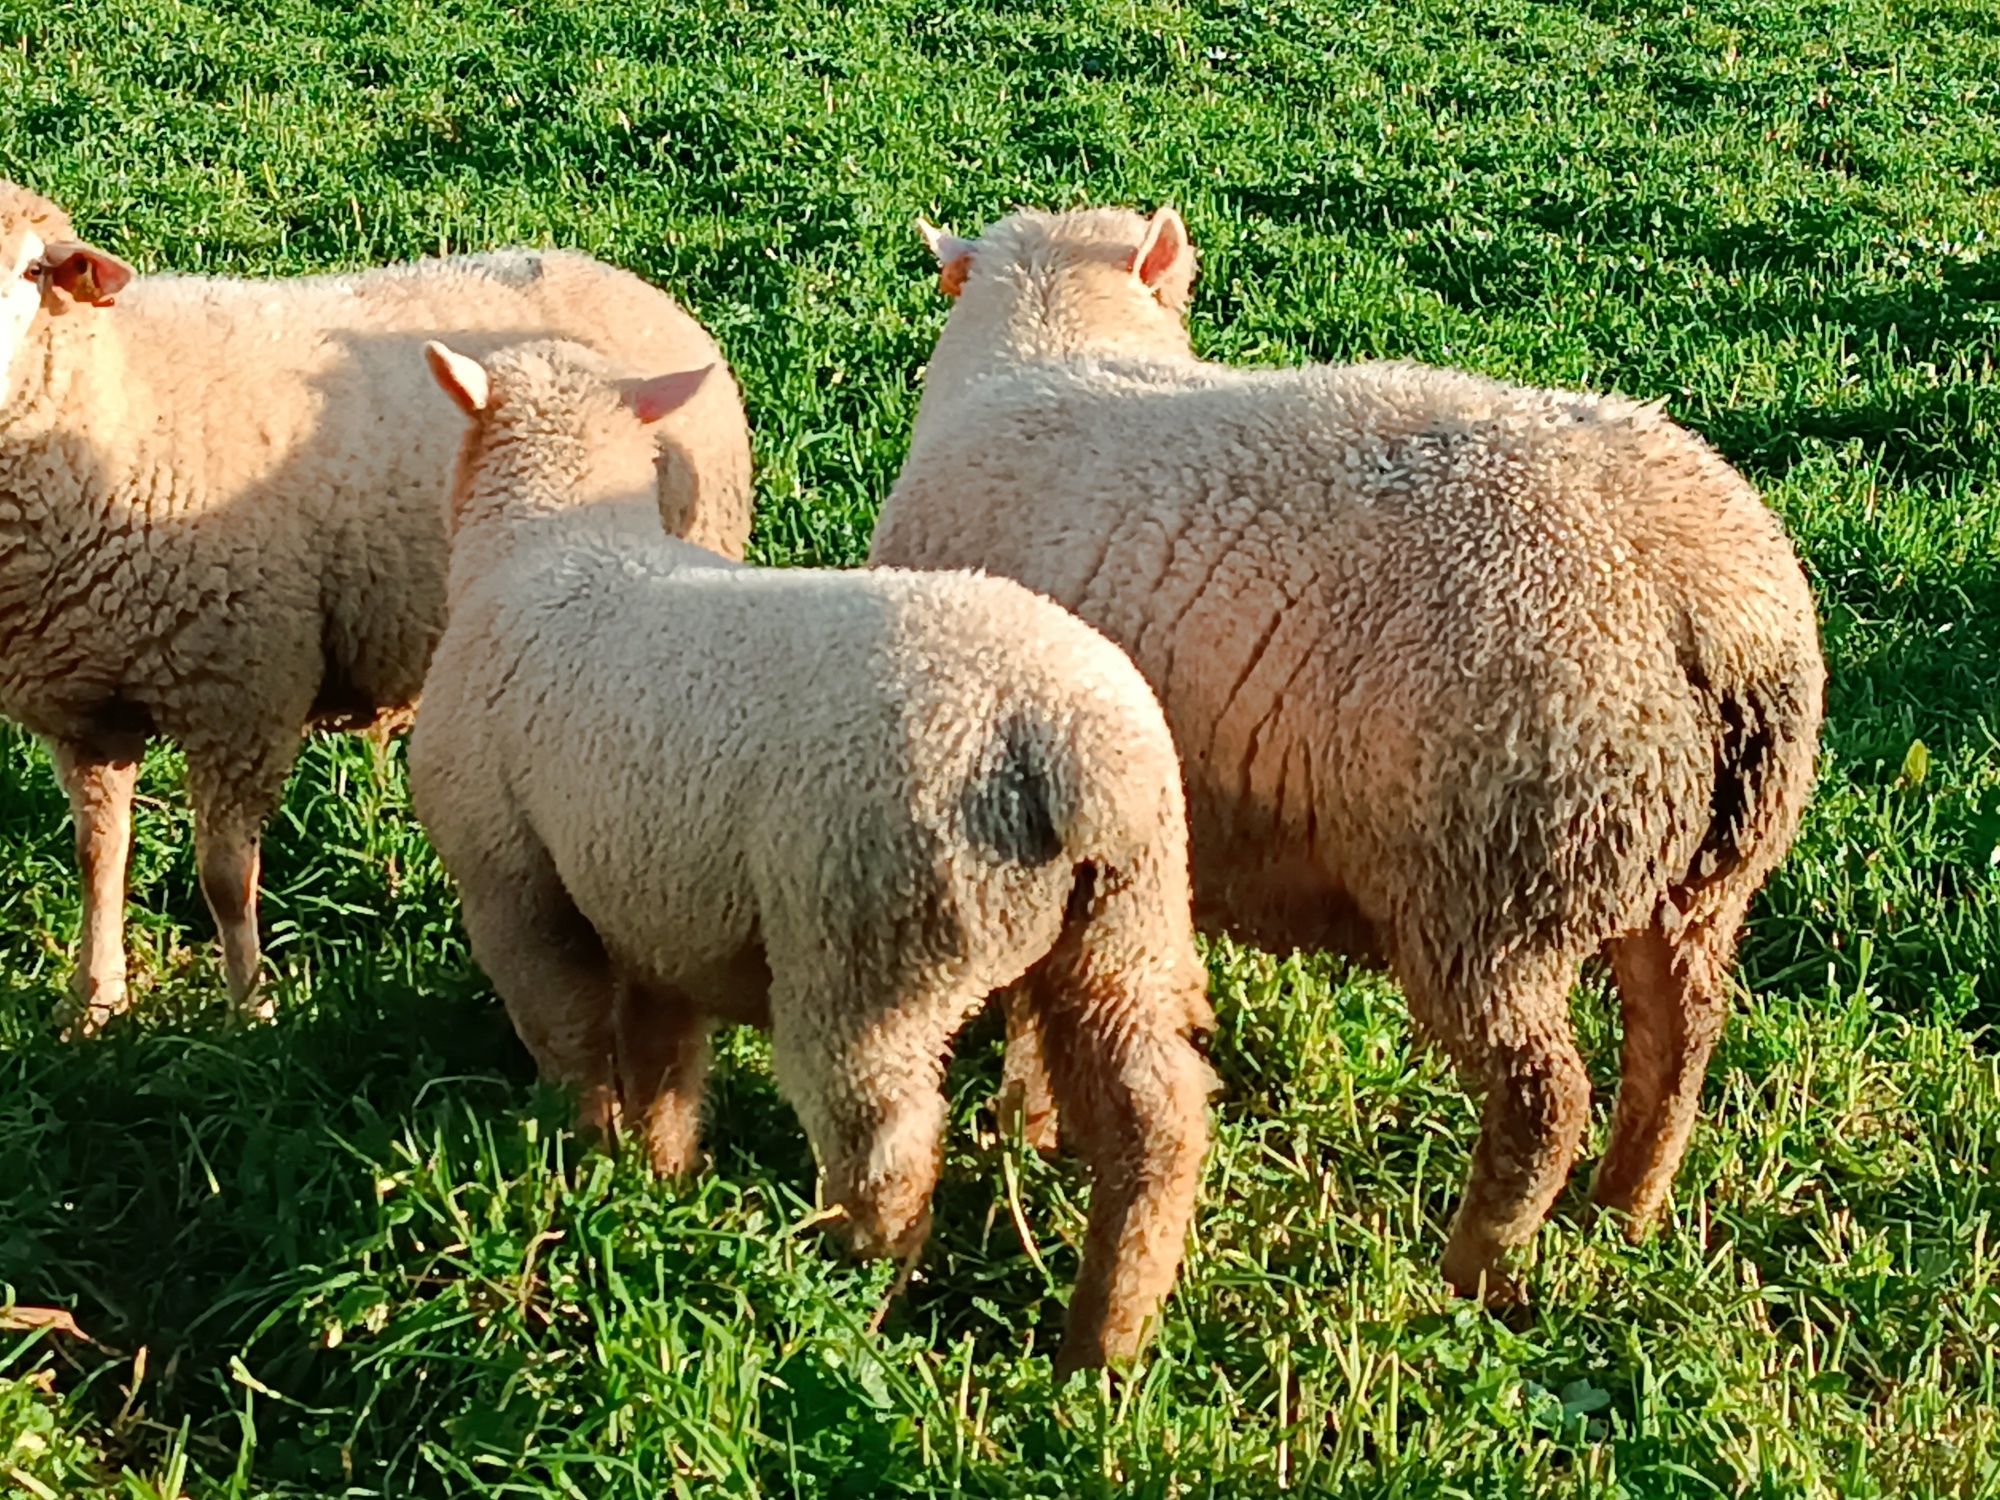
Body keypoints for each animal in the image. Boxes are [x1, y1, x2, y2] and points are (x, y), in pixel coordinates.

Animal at [0, 179, 752, 1032]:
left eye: (33, 271)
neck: (120, 396)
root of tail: (634, 289)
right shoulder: (86, 713)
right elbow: (99, 857)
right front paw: (95, 1006)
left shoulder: (242, 690)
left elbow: (224, 878)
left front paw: (250, 1011)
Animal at [414, 338, 1208, 1376]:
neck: (552, 541)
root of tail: (1067, 747)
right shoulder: (656, 905)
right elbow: (666, 1058)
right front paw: (661, 1176)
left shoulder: (512, 883)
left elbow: (572, 1039)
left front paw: (584, 1159)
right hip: (1126, 925)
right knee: (1155, 1127)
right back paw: (1105, 1341)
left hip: (871, 944)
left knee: (887, 1149)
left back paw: (847, 1297)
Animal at [872, 203, 1832, 1304]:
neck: (1052, 344)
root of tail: (1711, 609)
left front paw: (1022, 1130)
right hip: (1686, 875)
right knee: (1679, 1037)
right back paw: (1624, 1209)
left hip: (1492, 883)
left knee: (1542, 1101)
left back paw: (1472, 1274)